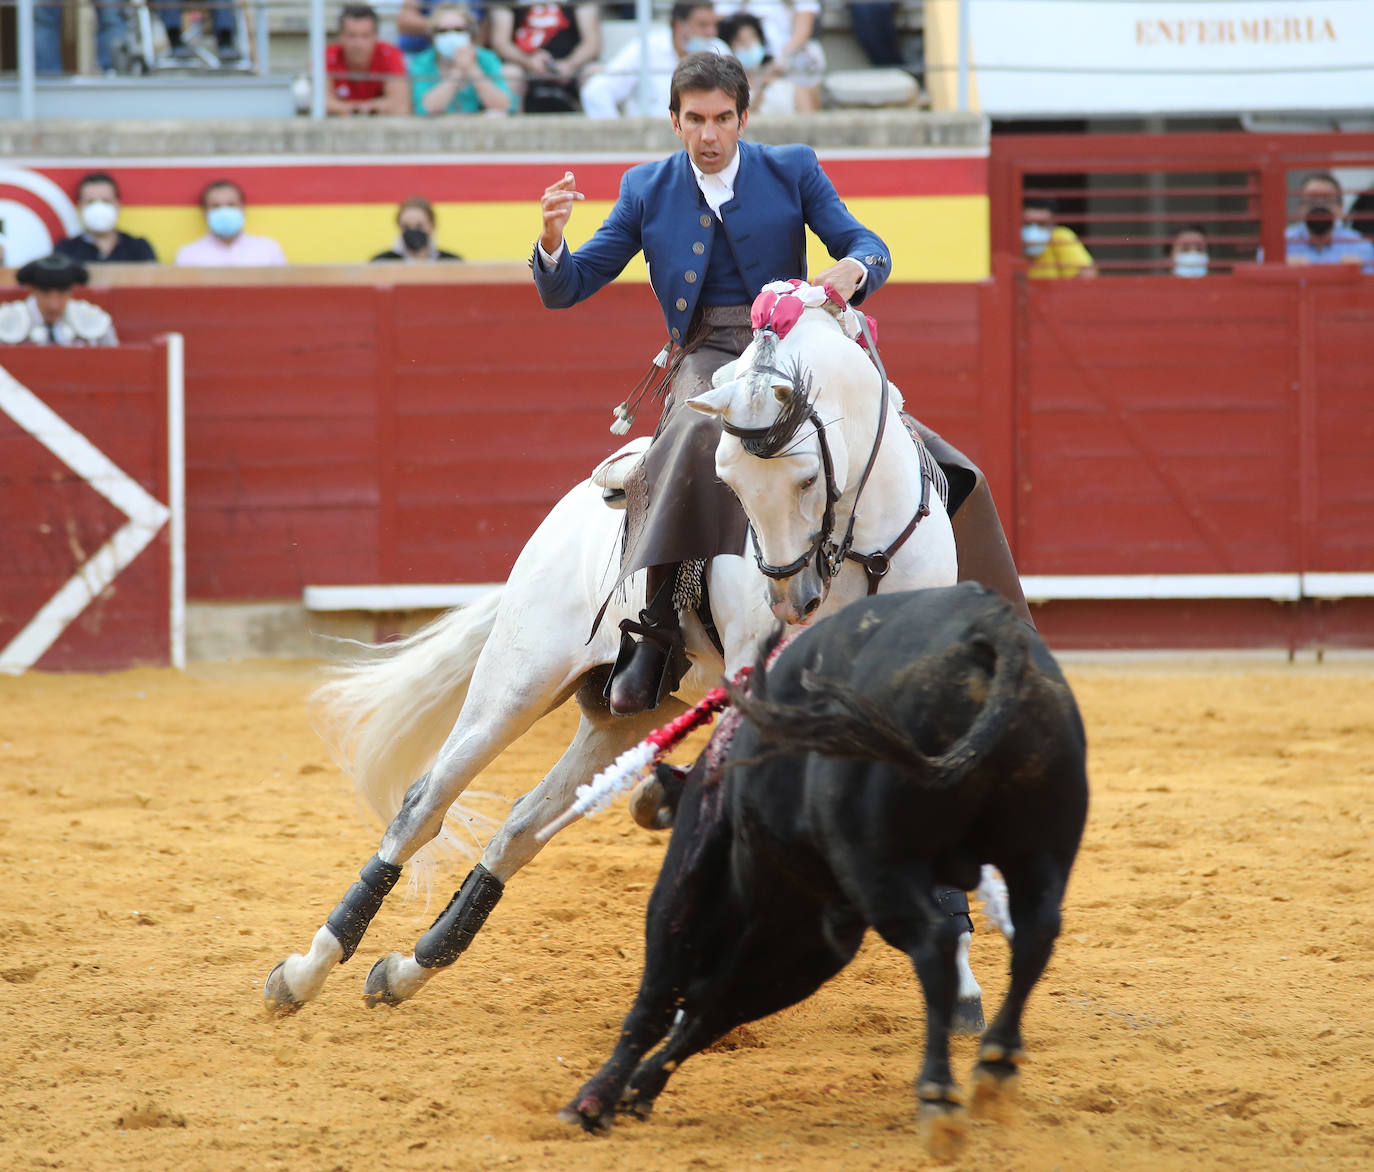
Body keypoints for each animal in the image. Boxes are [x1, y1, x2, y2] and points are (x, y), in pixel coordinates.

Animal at [265, 289, 978, 1016]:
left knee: (521, 827)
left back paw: (409, 967)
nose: (791, 600)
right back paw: (303, 972)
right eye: (727, 485)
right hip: (518, 682)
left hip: (623, 715)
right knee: (425, 805)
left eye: (808, 478)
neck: (863, 550)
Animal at [563, 585, 1088, 1143]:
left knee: (935, 942)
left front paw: (596, 1099)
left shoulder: (699, 873)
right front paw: (637, 1089)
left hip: (880, 869)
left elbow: (664, 991)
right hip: (1040, 852)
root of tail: (992, 638)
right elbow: (716, 1008)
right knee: (1035, 934)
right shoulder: (815, 939)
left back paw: (940, 1094)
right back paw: (996, 1068)